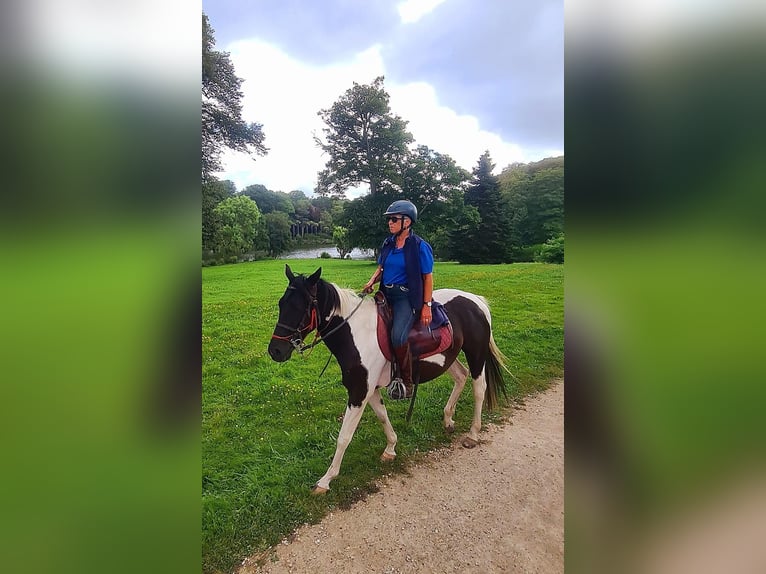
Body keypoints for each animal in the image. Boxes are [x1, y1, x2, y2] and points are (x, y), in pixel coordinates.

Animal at [268, 264, 511, 493]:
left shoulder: (358, 391)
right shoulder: (369, 389)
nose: (275, 351)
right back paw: (448, 419)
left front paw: (326, 480)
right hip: (447, 358)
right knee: (461, 377)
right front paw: (391, 448)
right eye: (281, 304)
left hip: (476, 354)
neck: (356, 333)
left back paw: (473, 433)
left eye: (301, 307)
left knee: (479, 389)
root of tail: (476, 300)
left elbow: (344, 436)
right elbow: (382, 416)